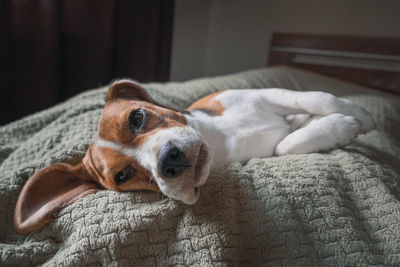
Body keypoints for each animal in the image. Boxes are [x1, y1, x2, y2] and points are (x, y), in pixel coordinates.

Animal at [12, 80, 376, 236]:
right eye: (122, 176)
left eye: (137, 118)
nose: (168, 162)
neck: (221, 140)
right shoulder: (268, 149)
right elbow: (283, 147)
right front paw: (341, 127)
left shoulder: (264, 93)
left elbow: (318, 97)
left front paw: (358, 116)